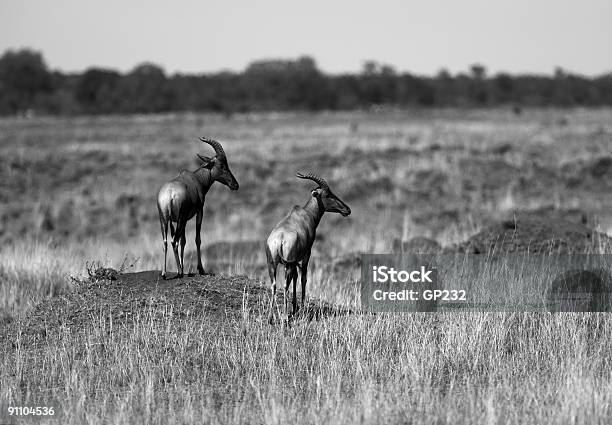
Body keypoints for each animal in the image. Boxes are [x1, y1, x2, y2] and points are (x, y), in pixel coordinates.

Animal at [157, 136, 238, 278]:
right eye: (222, 165)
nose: (235, 185)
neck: (196, 179)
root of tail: (170, 194)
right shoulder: (200, 211)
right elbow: (197, 239)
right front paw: (201, 269)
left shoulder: (179, 220)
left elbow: (183, 241)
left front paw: (183, 267)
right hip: (180, 219)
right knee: (173, 241)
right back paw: (179, 273)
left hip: (165, 220)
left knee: (166, 241)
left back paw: (164, 273)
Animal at [266, 171, 352, 322]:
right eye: (327, 194)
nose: (347, 210)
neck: (305, 214)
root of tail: (279, 239)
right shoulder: (307, 253)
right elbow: (303, 278)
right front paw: (300, 308)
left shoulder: (294, 261)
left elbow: (296, 277)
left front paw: (295, 308)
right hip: (287, 264)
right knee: (285, 284)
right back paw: (284, 316)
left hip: (273, 264)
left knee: (274, 285)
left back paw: (271, 318)